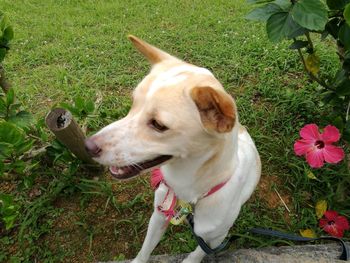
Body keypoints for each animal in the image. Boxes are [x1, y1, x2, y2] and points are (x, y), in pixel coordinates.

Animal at [85, 35, 260, 263]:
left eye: (158, 125)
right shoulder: (159, 216)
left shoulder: (215, 239)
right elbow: (144, 251)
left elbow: (196, 254)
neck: (189, 193)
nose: (88, 146)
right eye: (133, 104)